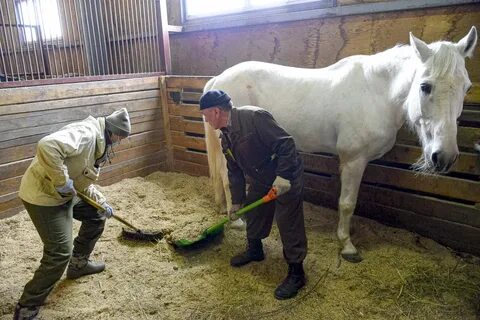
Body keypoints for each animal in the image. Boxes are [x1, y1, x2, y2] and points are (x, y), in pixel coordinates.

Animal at [202, 27, 476, 262]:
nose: (445, 157)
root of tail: (218, 80)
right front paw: (347, 245)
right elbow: (347, 203)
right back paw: (237, 220)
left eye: (466, 87)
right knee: (228, 179)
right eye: (425, 86)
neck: (376, 92)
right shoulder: (354, 160)